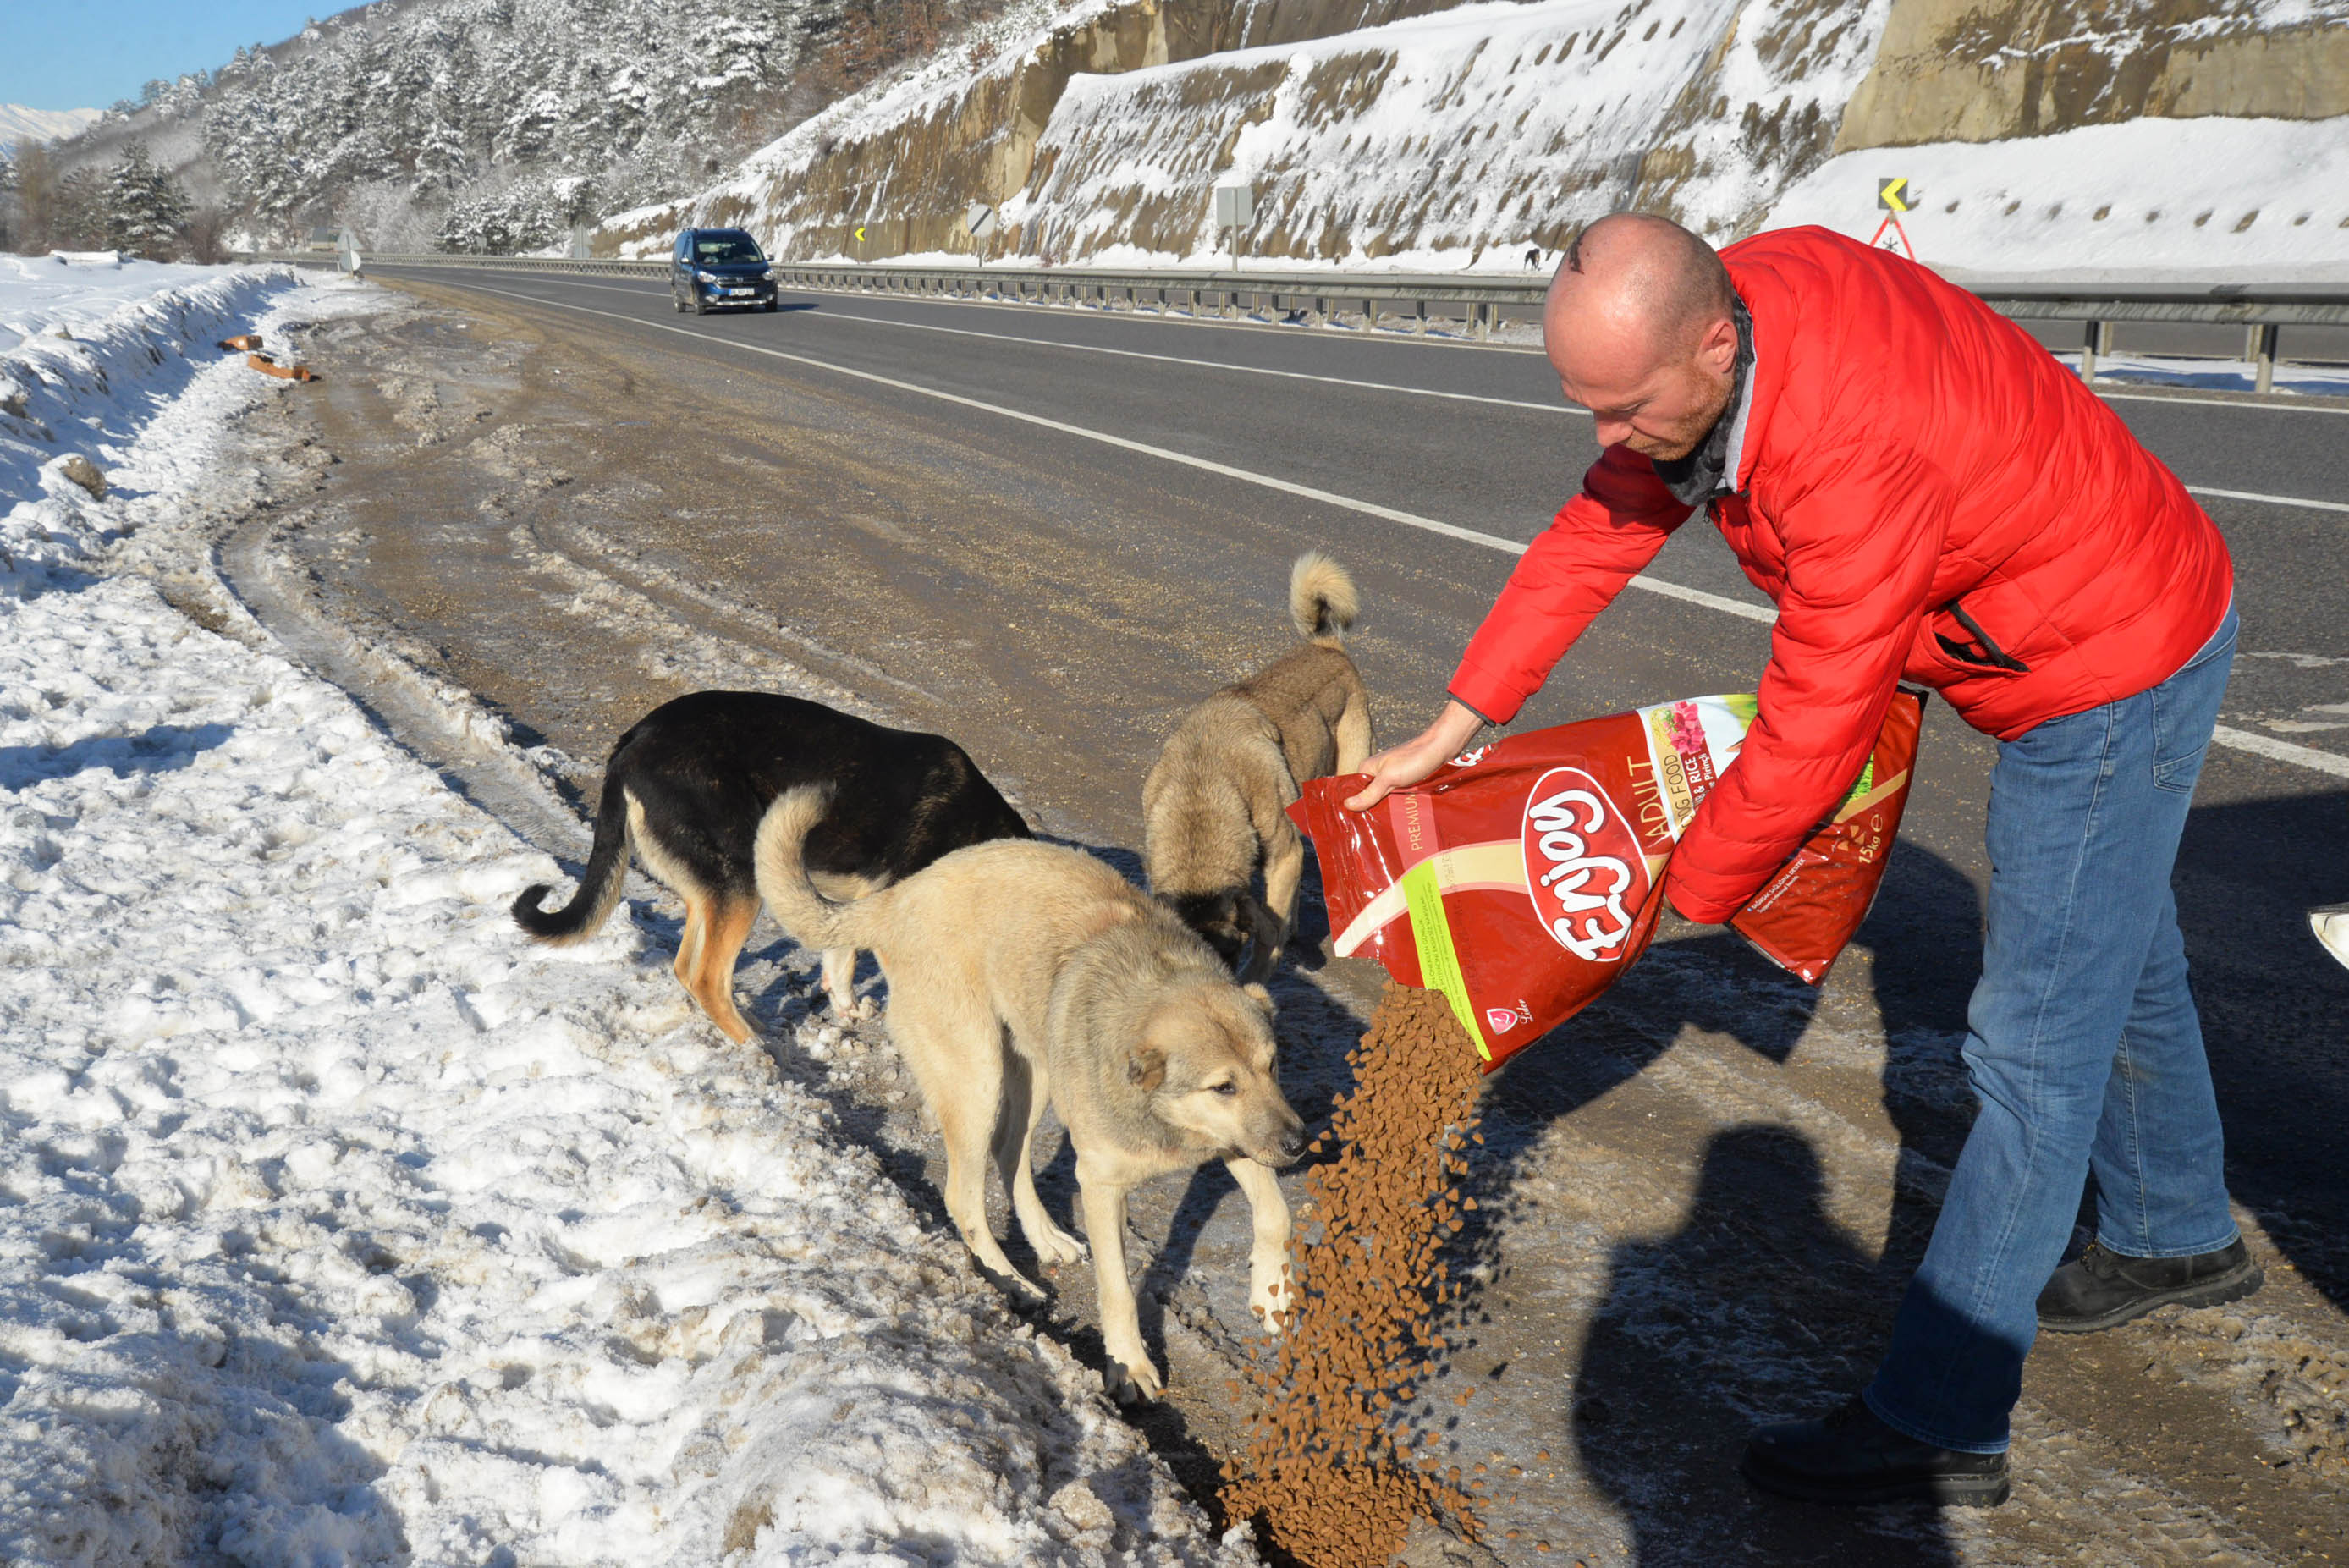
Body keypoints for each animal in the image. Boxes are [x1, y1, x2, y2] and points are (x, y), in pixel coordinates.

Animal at [514, 690, 1028, 1042]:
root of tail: (631, 745)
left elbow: (840, 960)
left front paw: (847, 1009)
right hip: (742, 882)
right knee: (707, 977)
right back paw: (754, 1046)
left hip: (715, 885)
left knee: (686, 967)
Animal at [751, 789, 1306, 1399]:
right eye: (1222, 1085)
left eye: (1273, 1065)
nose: (1300, 1144)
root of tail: (899, 897)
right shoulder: (1103, 1184)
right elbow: (1118, 1286)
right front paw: (1129, 1362)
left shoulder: (1241, 1139)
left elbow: (1276, 1212)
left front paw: (1272, 1292)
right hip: (978, 1078)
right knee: (964, 1196)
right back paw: (1011, 1281)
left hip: (1033, 1072)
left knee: (1010, 1156)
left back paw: (1043, 1238)